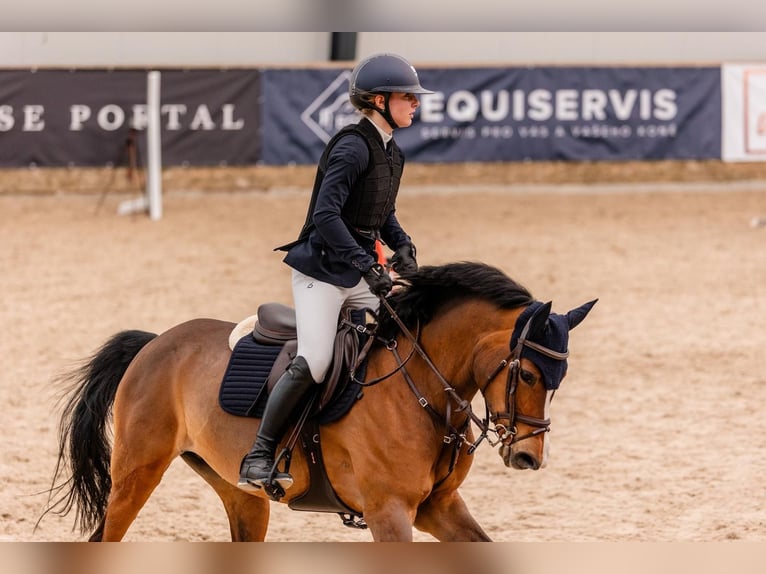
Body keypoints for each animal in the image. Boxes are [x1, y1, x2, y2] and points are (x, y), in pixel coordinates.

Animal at [39, 264, 596, 544]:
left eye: (559, 379)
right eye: (527, 374)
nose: (527, 457)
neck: (421, 389)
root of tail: (155, 343)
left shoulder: (437, 507)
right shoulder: (389, 511)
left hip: (240, 493)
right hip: (138, 472)